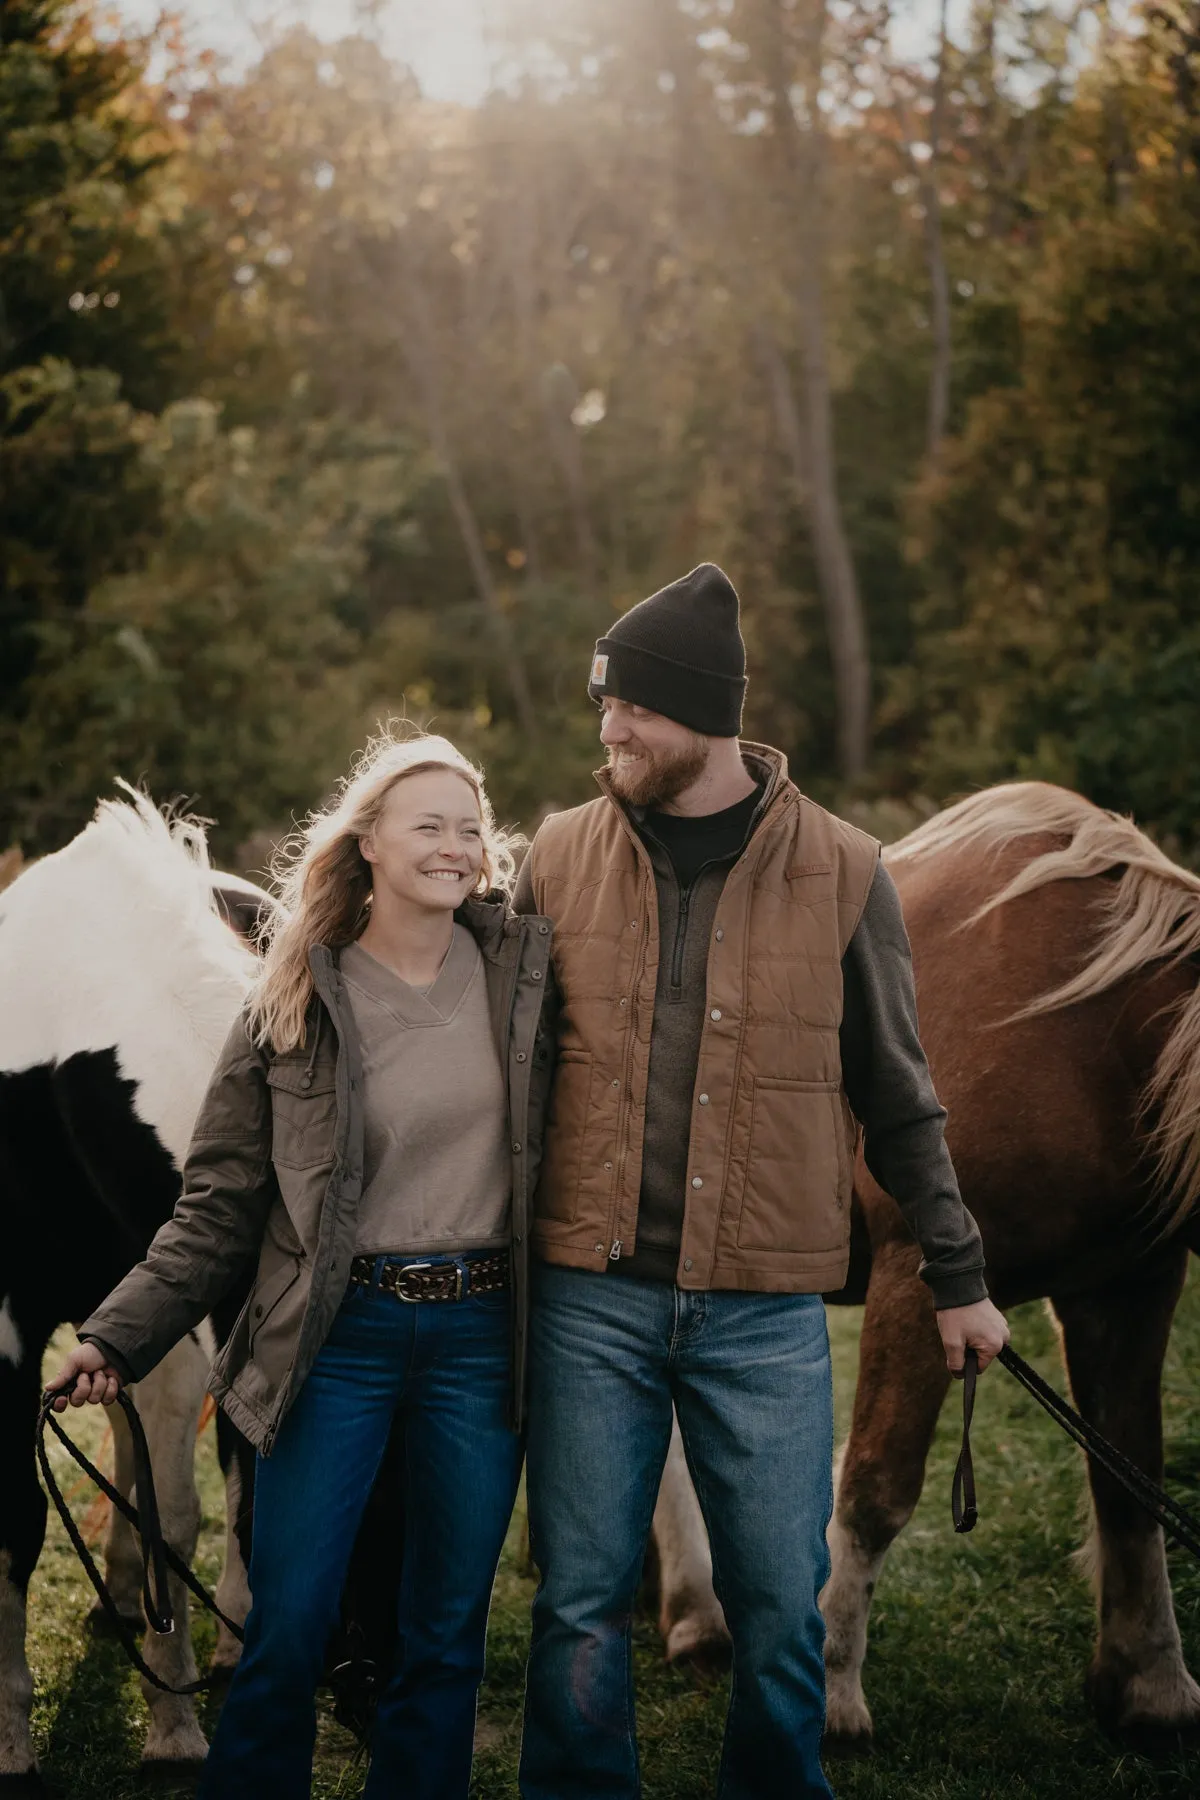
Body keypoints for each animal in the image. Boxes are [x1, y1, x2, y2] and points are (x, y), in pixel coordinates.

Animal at [651, 781, 1200, 1735]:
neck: (1091, 1034)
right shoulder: (916, 1282)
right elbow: (874, 1490)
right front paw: (829, 1694)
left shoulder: (1129, 1288)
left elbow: (1128, 1476)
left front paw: (1149, 1683)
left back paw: (696, 1617)